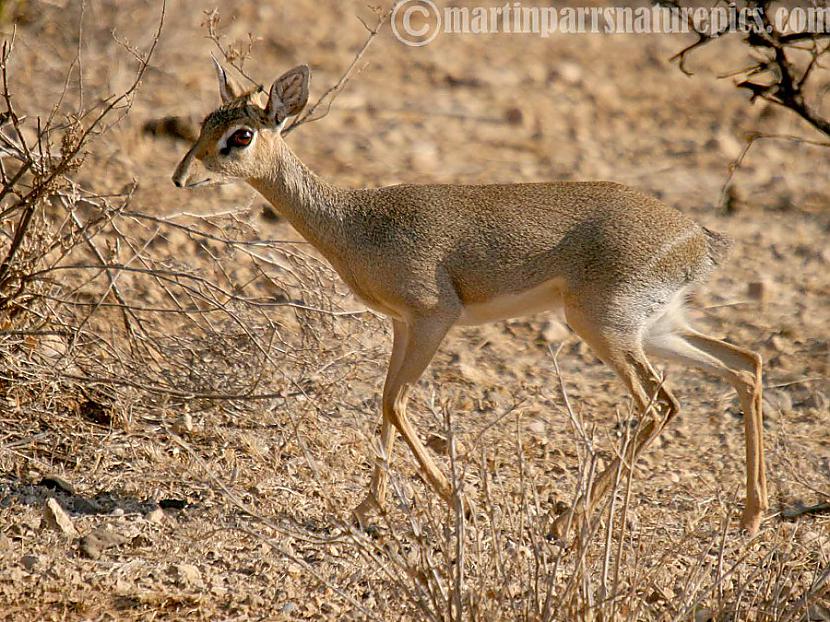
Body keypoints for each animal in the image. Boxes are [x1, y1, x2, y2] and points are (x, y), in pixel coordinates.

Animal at [172, 66, 772, 540]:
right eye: (204, 122)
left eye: (241, 135)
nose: (181, 176)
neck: (355, 223)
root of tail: (700, 239)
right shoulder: (401, 325)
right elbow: (384, 404)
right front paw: (366, 508)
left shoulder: (434, 317)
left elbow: (396, 404)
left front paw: (461, 505)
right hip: (656, 328)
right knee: (745, 364)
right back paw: (749, 517)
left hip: (605, 328)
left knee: (660, 405)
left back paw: (565, 523)